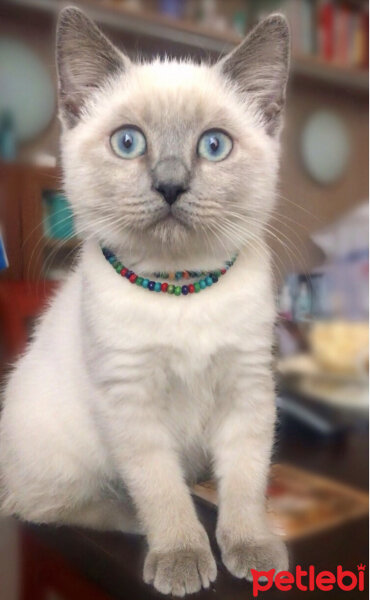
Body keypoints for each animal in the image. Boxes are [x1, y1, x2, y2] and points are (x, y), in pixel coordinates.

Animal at [0, 8, 290, 596]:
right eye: (129, 143)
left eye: (214, 146)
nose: (171, 185)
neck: (181, 288)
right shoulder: (130, 403)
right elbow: (161, 490)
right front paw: (182, 555)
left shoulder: (249, 389)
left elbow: (246, 481)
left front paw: (251, 547)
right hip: (68, 458)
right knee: (52, 506)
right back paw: (137, 520)